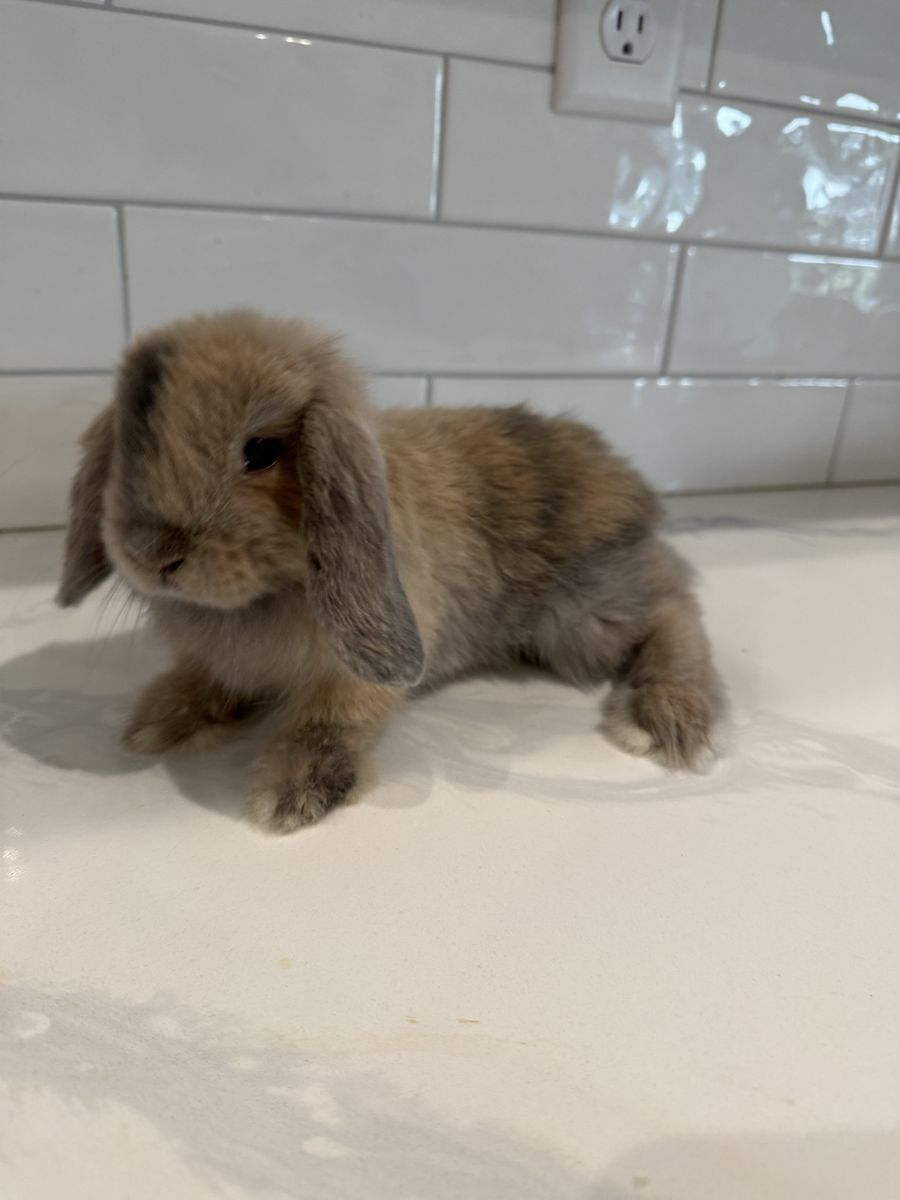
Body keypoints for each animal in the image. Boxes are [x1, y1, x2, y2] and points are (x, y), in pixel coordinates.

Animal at [58, 309, 722, 833]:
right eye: (130, 444)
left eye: (261, 451)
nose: (153, 554)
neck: (264, 593)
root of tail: (624, 476)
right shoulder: (224, 661)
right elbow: (206, 681)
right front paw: (158, 721)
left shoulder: (357, 673)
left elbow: (326, 721)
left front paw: (291, 794)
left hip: (580, 615)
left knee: (675, 611)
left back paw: (665, 716)